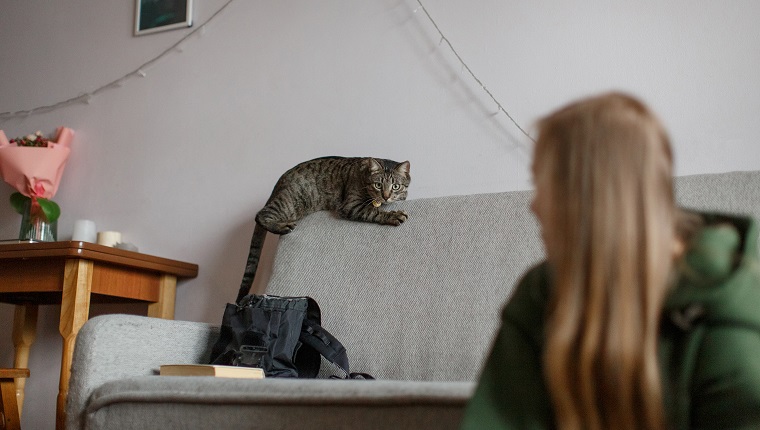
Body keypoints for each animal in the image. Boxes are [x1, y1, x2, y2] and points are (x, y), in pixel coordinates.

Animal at [236, 155, 410, 302]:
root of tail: (277, 184)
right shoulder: (351, 206)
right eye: (378, 185)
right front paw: (393, 215)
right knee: (260, 214)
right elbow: (374, 211)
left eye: (395, 186)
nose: (386, 196)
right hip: (290, 204)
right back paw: (282, 226)